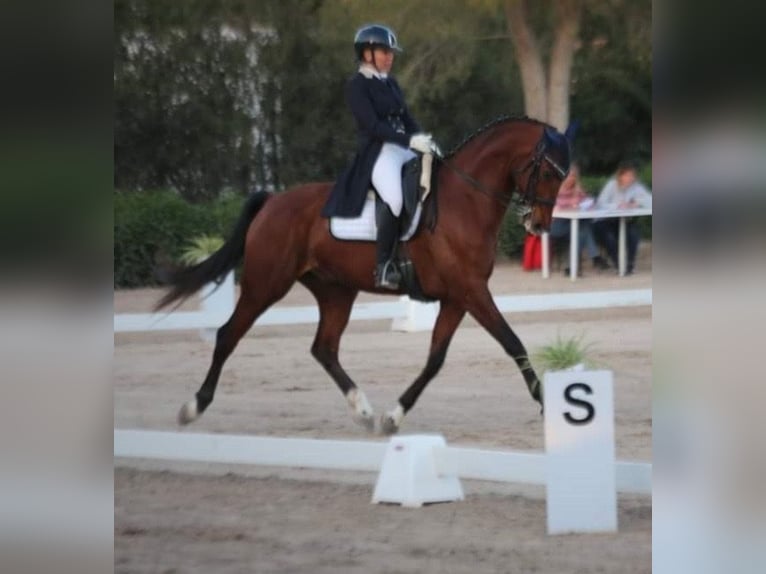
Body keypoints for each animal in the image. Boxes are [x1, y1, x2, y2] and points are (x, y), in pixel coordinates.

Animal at [156, 115, 571, 435]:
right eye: (549, 172)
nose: (539, 225)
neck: (465, 200)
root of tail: (273, 200)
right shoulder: (471, 291)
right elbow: (512, 342)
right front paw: (548, 406)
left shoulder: (458, 297)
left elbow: (435, 359)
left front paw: (393, 416)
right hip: (266, 284)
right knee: (228, 334)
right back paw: (193, 407)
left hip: (336, 291)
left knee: (324, 348)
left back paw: (364, 411)